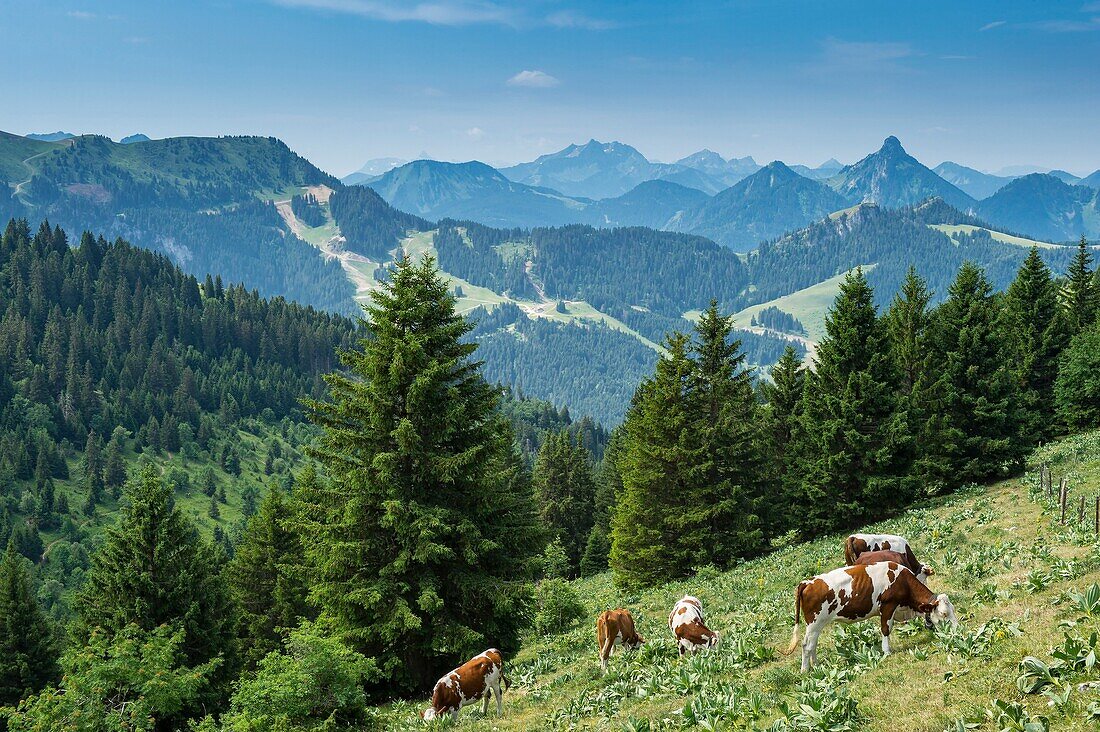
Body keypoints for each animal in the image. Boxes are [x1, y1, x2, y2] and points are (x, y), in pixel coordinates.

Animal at [783, 561, 954, 669]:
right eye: (944, 614)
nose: (957, 632)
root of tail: (807, 582)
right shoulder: (888, 606)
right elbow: (885, 629)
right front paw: (887, 651)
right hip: (814, 622)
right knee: (807, 645)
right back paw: (806, 670)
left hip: (817, 625)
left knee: (813, 645)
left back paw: (816, 666)